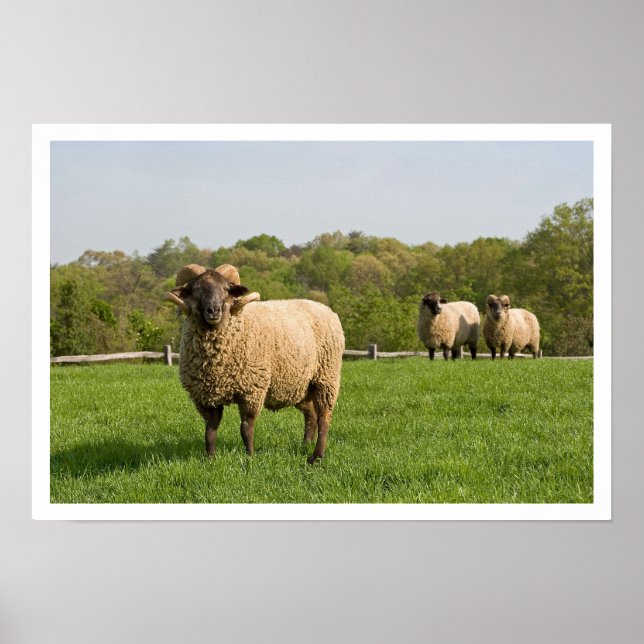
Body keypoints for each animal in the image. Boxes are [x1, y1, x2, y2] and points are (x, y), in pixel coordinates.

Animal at [165, 264, 345, 463]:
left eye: (226, 289)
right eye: (196, 289)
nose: (214, 311)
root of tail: (326, 308)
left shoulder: (252, 389)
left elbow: (246, 428)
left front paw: (250, 457)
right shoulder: (205, 396)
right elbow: (210, 431)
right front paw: (210, 459)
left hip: (326, 378)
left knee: (324, 418)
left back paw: (316, 456)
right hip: (299, 386)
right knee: (311, 415)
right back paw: (305, 445)